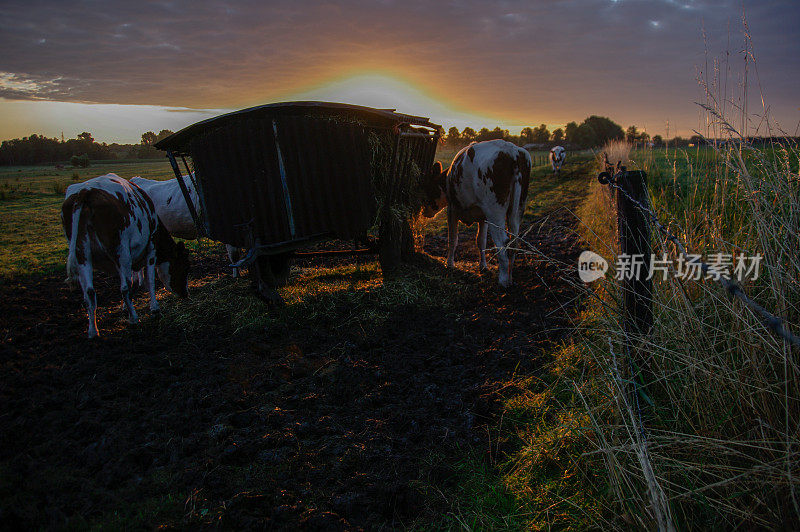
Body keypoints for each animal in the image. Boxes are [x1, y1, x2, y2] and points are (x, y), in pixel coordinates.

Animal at [61, 176, 189, 340]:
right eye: (184, 267)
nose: (185, 294)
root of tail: (85, 192)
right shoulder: (151, 249)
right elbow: (149, 281)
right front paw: (154, 309)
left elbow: (132, 281)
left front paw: (124, 307)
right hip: (121, 250)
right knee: (124, 287)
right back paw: (134, 319)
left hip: (82, 255)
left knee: (89, 292)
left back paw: (93, 331)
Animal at [418, 138, 532, 286]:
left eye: (427, 188)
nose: (423, 211)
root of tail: (512, 151)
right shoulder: (483, 217)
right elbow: (481, 241)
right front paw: (483, 266)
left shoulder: (452, 210)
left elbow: (453, 239)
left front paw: (449, 264)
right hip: (518, 208)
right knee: (514, 242)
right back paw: (510, 277)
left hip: (495, 212)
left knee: (503, 243)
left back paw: (503, 281)